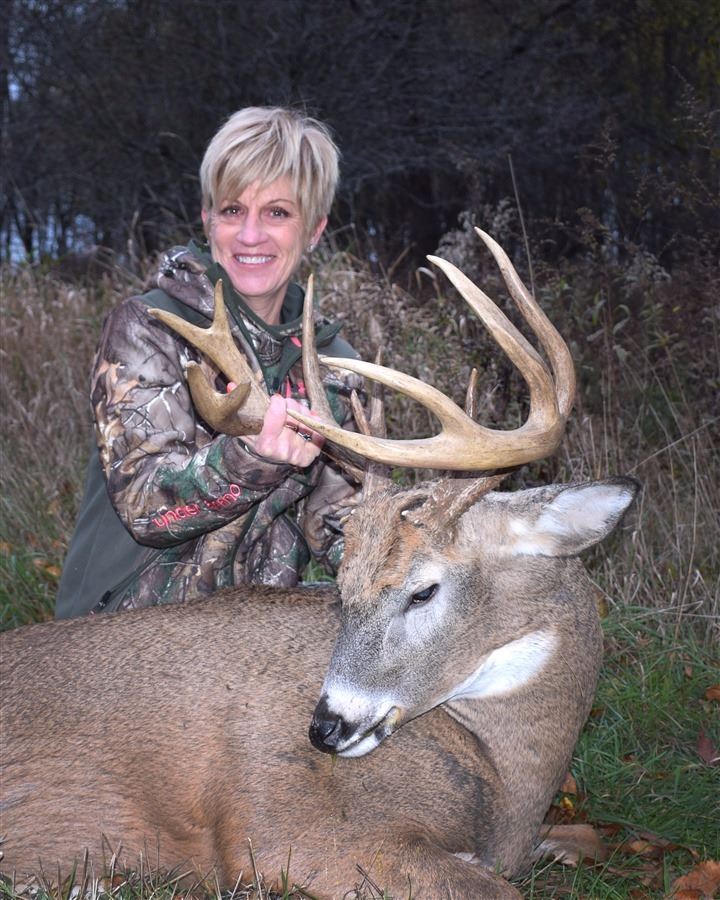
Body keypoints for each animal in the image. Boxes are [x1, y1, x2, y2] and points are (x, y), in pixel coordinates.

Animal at [0, 231, 639, 899]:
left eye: (423, 591)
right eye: (343, 590)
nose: (324, 728)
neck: (508, 780)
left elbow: (589, 838)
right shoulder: (283, 828)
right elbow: (497, 887)